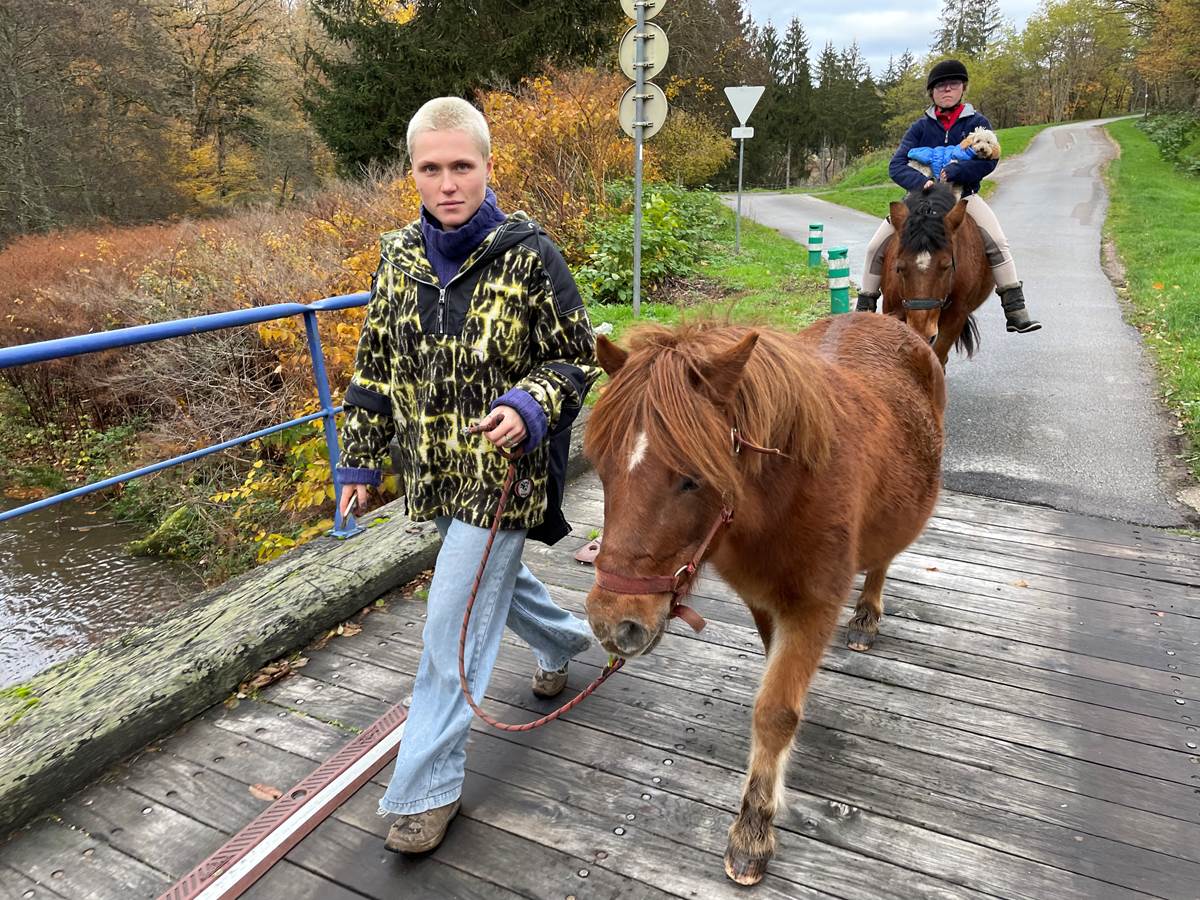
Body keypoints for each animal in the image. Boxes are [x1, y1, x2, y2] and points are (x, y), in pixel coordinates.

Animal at [583, 314, 945, 888]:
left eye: (692, 479)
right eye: (602, 469)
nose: (613, 623)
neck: (786, 493)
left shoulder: (814, 608)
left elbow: (775, 712)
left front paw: (753, 827)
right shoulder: (762, 603)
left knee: (882, 561)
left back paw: (867, 614)